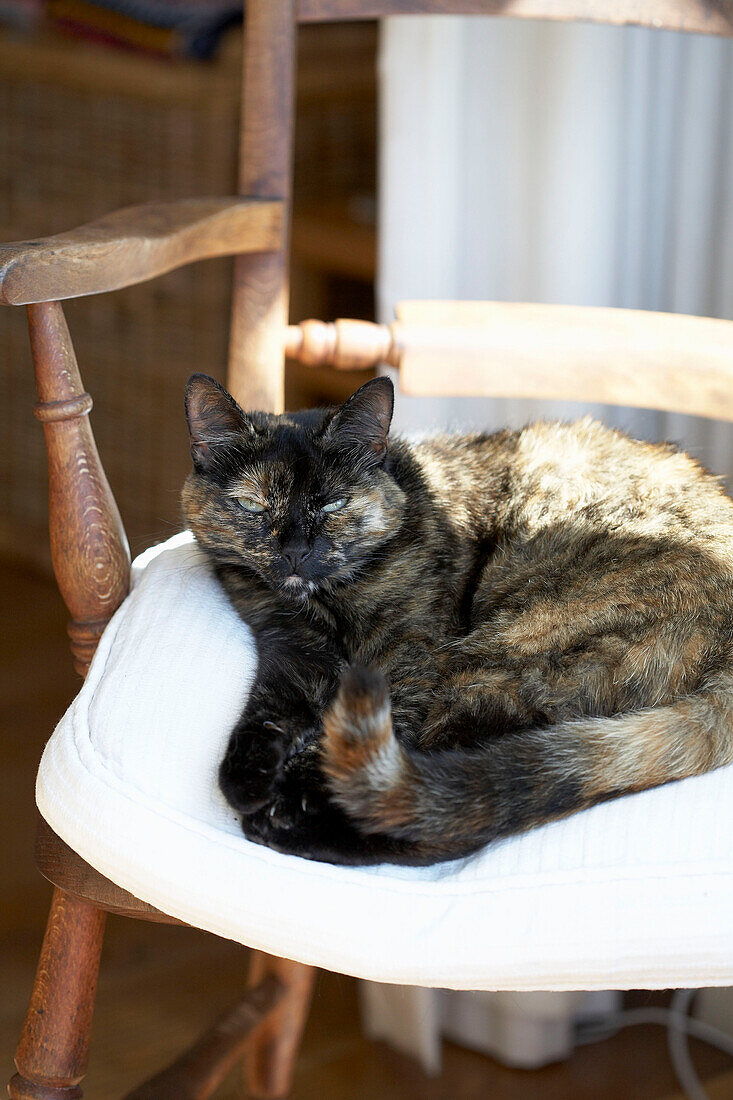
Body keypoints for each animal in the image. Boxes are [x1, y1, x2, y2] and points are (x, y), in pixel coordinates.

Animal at [179, 374, 730, 862]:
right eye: (251, 504)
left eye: (333, 503)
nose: (294, 551)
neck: (331, 608)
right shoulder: (289, 647)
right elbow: (267, 709)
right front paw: (247, 778)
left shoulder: (410, 662)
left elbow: (369, 740)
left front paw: (289, 789)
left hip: (493, 655)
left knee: (446, 812)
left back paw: (286, 822)